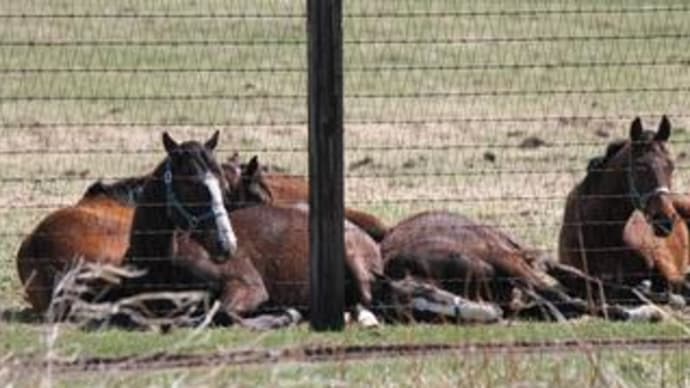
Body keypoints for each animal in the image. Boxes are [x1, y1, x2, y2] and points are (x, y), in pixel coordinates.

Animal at [378, 209, 660, 322]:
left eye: (427, 292)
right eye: (423, 315)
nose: (489, 314)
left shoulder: (506, 261)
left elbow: (560, 297)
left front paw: (635, 312)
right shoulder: (512, 301)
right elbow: (555, 304)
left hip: (516, 255)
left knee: (571, 277)